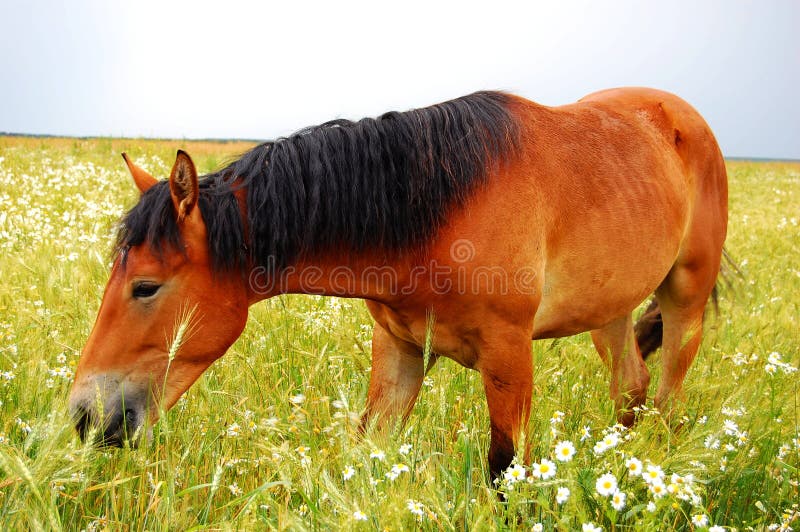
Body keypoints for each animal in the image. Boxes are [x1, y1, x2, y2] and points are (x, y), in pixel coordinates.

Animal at [70, 87, 732, 478]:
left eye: (145, 287)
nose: (84, 418)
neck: (440, 211)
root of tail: (680, 114)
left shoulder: (509, 355)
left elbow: (504, 468)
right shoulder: (400, 350)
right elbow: (368, 449)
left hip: (685, 299)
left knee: (667, 391)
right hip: (610, 311)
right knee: (630, 386)